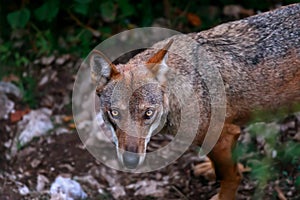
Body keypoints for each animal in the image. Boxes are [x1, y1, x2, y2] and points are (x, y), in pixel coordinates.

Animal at [88, 3, 298, 200]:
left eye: (148, 113)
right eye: (115, 113)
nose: (130, 162)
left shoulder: (223, 135)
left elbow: (231, 176)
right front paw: (209, 169)